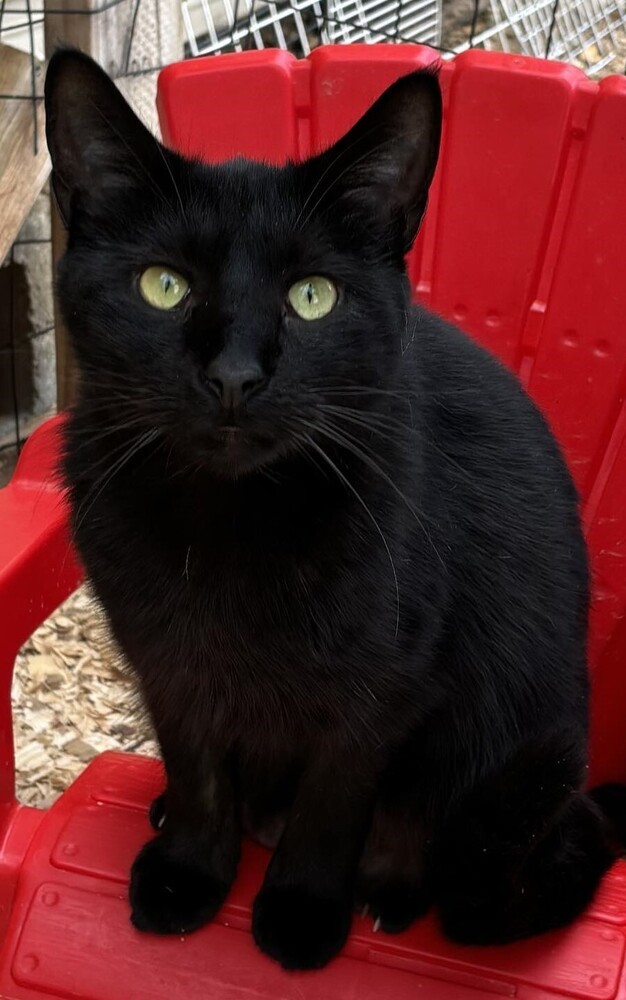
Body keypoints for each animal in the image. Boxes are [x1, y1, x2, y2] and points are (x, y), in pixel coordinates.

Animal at [45, 50, 624, 972]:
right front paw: (190, 870)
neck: (228, 528)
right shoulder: (166, 659)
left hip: (517, 750)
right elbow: (196, 763)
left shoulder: (381, 687)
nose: (235, 375)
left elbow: (332, 799)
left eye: (312, 297)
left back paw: (387, 886)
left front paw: (302, 908)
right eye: (162, 286)